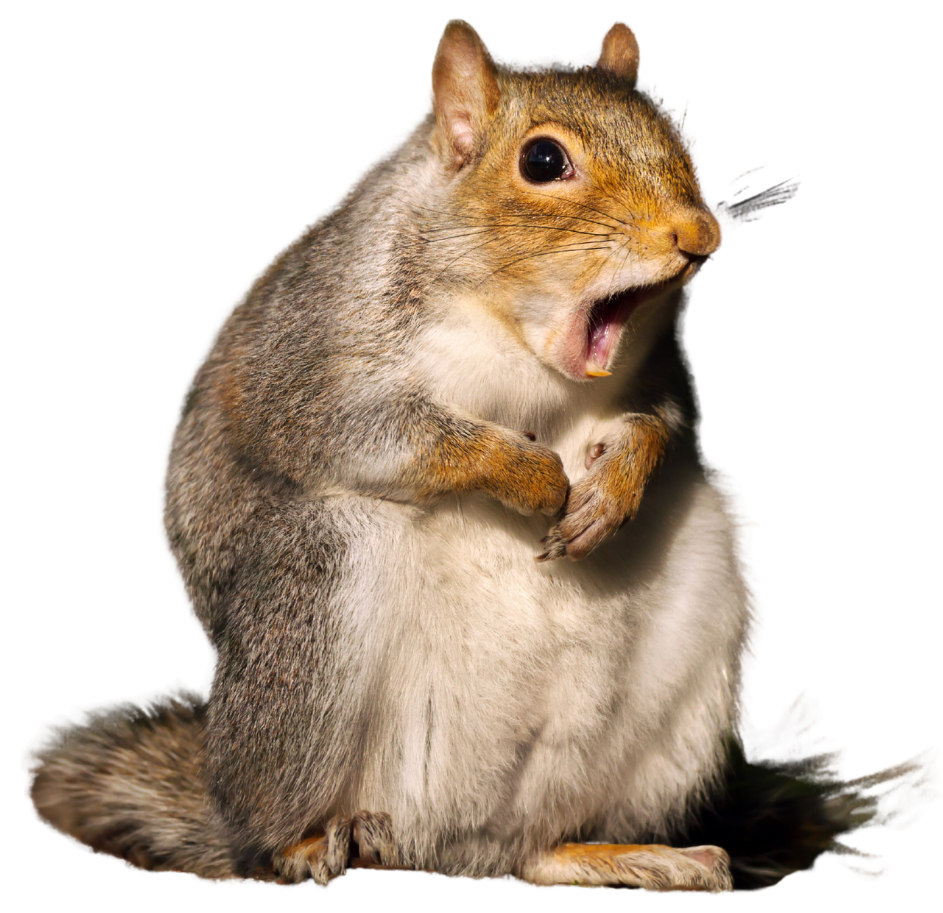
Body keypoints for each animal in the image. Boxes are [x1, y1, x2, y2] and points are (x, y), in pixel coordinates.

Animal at [21, 20, 939, 894]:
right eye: (542, 160)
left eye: (683, 141)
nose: (699, 234)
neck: (516, 334)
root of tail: (434, 838)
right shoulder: (312, 356)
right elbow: (372, 431)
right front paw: (532, 479)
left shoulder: (667, 370)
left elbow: (662, 425)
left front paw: (611, 486)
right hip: (312, 600)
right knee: (279, 817)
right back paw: (309, 842)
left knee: (519, 856)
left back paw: (626, 857)